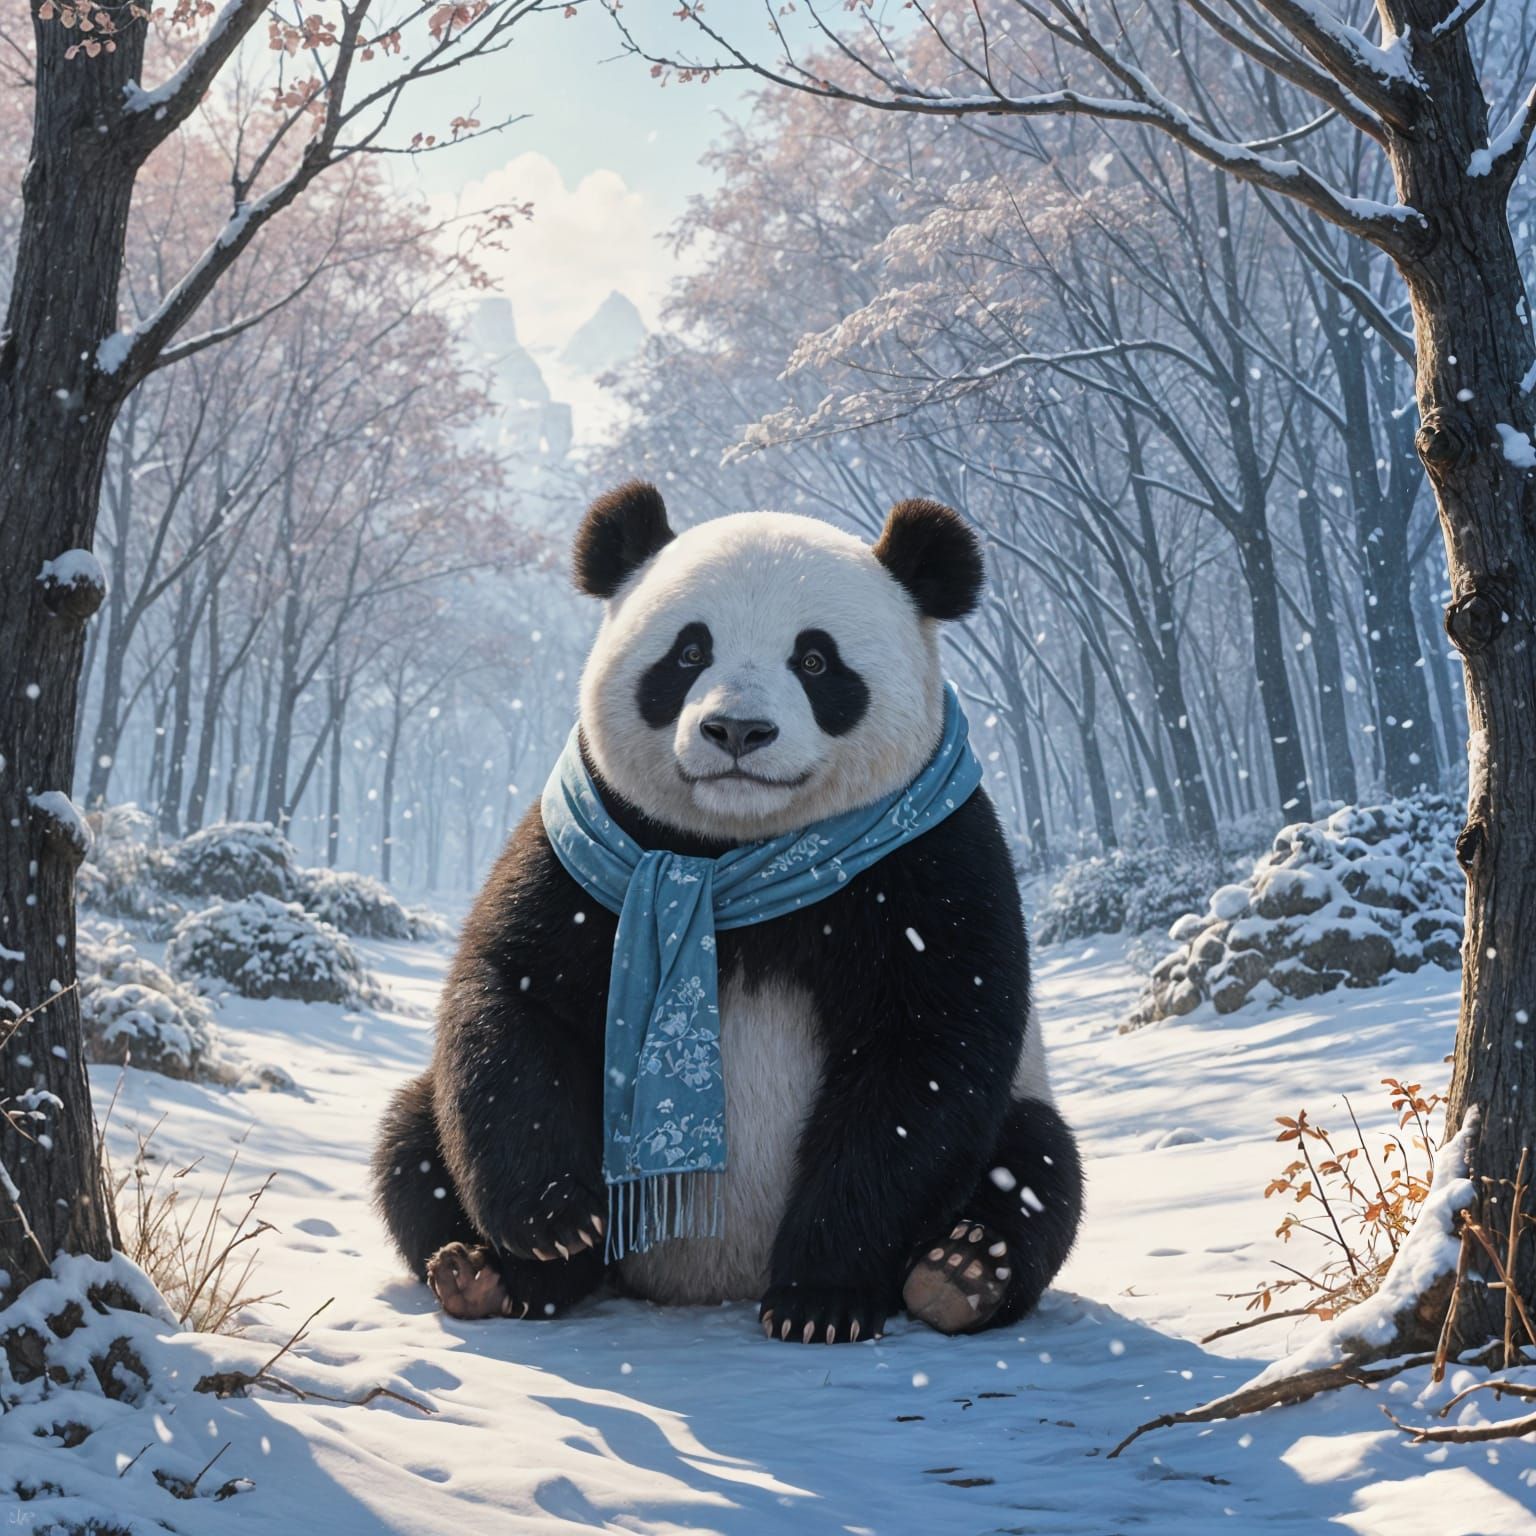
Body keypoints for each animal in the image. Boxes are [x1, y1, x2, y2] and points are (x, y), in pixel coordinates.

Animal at [373, 483, 1083, 1343]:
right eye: (688, 653)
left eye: (815, 660)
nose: (738, 729)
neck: (732, 850)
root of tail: (707, 1282)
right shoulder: (588, 835)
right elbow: (513, 993)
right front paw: (552, 1221)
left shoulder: (931, 852)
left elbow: (930, 1046)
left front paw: (820, 1298)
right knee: (411, 1131)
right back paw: (486, 1275)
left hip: (1024, 1106)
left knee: (1040, 1162)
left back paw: (961, 1273)